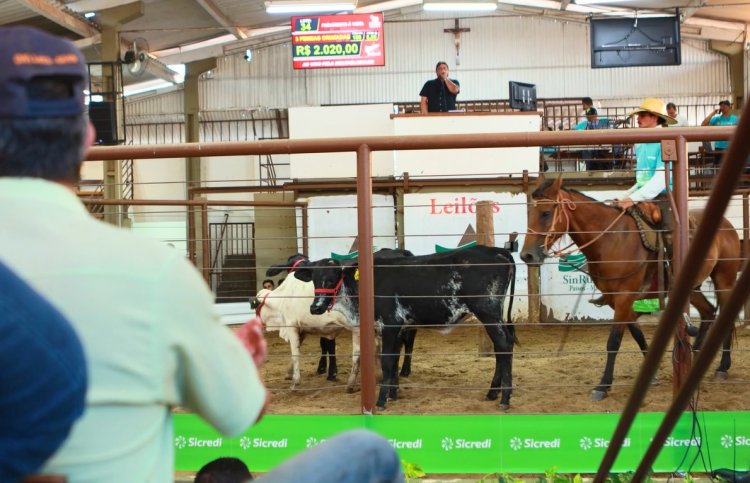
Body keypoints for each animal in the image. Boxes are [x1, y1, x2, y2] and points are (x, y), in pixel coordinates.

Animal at [294, 248, 516, 410]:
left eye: (332, 278)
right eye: (314, 280)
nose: (315, 308)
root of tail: (497, 251)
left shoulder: (390, 324)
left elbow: (387, 360)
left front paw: (381, 400)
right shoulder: (398, 327)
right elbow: (394, 361)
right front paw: (393, 394)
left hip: (487, 312)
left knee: (503, 345)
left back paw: (504, 398)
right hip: (494, 315)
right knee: (503, 346)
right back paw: (493, 392)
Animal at [520, 175, 744, 400]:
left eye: (546, 213)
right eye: (529, 213)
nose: (526, 256)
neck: (612, 239)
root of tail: (728, 225)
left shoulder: (624, 297)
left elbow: (614, 341)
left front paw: (603, 385)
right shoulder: (615, 300)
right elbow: (637, 334)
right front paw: (651, 375)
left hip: (724, 280)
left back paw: (722, 367)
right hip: (693, 288)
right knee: (708, 311)